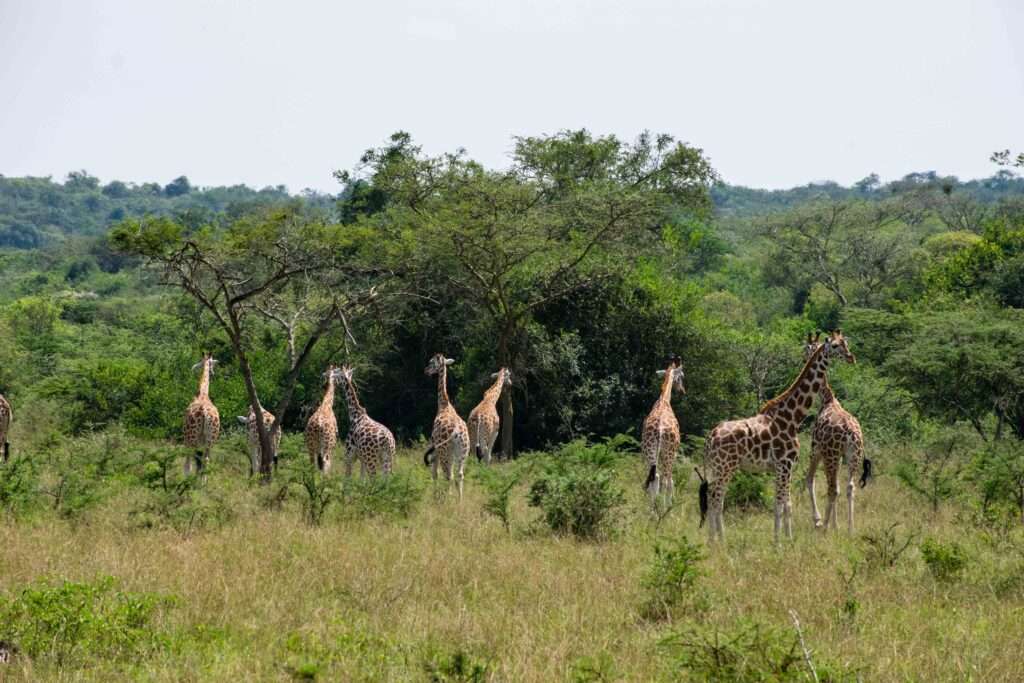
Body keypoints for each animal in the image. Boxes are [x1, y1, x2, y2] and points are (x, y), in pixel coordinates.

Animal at [421, 356, 468, 499]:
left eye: (431, 362)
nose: (426, 371)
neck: (444, 405)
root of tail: (457, 433)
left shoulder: (436, 447)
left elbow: (435, 473)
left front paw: (435, 496)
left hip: (445, 452)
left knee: (448, 475)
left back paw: (448, 499)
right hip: (462, 452)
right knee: (459, 475)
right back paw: (460, 501)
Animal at [638, 358, 688, 507]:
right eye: (681, 376)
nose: (682, 391)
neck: (664, 400)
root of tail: (659, 429)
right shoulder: (674, 453)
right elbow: (671, 481)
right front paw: (670, 503)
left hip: (649, 450)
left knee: (654, 477)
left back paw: (652, 508)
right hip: (668, 452)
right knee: (665, 479)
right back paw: (663, 508)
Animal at [704, 333, 856, 540]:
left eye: (845, 343)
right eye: (834, 346)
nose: (850, 357)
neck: (792, 417)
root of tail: (710, 438)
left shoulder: (783, 467)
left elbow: (785, 504)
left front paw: (785, 537)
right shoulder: (785, 464)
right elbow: (780, 505)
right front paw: (780, 540)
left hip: (719, 468)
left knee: (715, 499)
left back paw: (717, 539)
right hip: (725, 467)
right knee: (715, 500)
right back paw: (717, 541)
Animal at [798, 331, 872, 532]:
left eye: (807, 348)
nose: (804, 359)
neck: (827, 399)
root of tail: (850, 433)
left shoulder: (816, 449)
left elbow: (810, 479)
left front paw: (819, 520)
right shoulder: (838, 456)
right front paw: (835, 524)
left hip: (830, 454)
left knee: (832, 488)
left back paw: (824, 527)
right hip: (854, 455)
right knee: (849, 487)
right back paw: (850, 529)